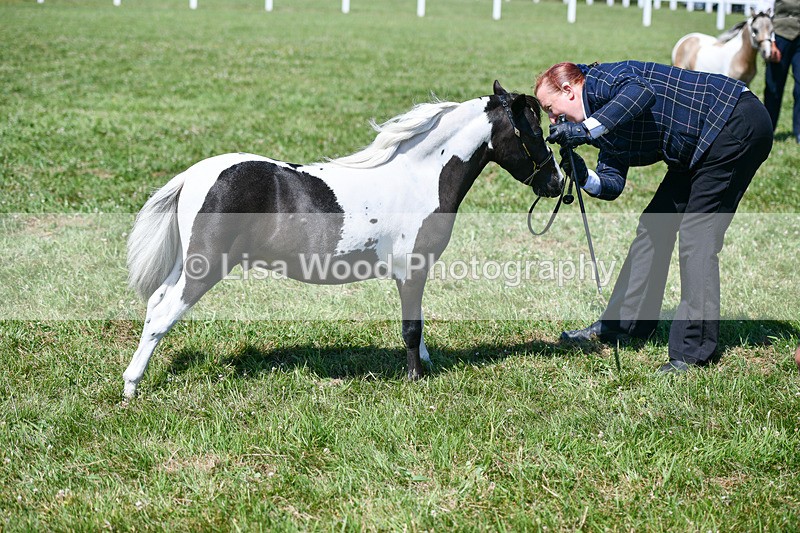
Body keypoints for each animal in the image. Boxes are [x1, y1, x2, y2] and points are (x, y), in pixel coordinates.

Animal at [122, 81, 563, 398]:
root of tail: (193, 175)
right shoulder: (410, 270)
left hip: (187, 263)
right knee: (162, 317)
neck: (419, 178)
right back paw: (130, 387)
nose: (558, 183)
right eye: (535, 132)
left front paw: (426, 366)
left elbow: (419, 325)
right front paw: (415, 379)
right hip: (205, 267)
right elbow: (411, 327)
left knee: (155, 304)